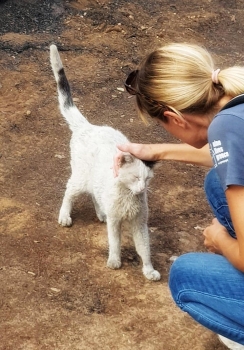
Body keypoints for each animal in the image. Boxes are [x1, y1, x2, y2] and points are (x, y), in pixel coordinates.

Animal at [50, 45, 160, 282]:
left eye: (147, 180)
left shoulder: (140, 223)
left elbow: (144, 249)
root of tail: (89, 126)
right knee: (69, 192)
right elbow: (115, 242)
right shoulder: (116, 221)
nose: (141, 189)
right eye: (135, 178)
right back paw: (65, 216)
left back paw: (100, 212)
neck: (129, 196)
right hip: (80, 177)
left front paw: (148, 270)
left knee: (95, 194)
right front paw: (115, 261)